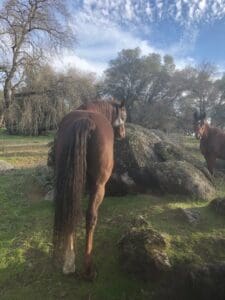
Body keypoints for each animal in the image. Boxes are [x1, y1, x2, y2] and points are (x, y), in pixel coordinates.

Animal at [53, 99, 126, 278]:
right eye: (124, 115)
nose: (123, 134)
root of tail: (84, 120)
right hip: (99, 186)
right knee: (90, 217)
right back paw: (88, 268)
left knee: (70, 211)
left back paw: (69, 263)